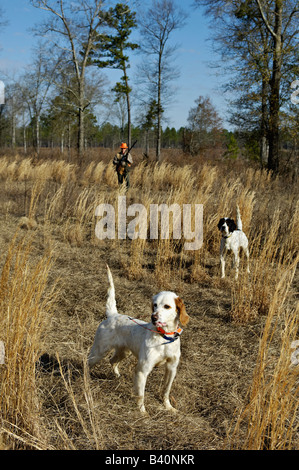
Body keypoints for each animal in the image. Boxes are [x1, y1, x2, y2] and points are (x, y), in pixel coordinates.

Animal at [87, 266, 190, 414]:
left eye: (167, 306)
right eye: (155, 305)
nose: (153, 317)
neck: (163, 337)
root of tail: (113, 314)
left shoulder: (171, 368)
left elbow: (166, 391)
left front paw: (168, 407)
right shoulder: (142, 370)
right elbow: (141, 395)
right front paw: (143, 413)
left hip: (124, 352)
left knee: (112, 361)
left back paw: (117, 376)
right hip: (98, 352)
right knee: (87, 363)